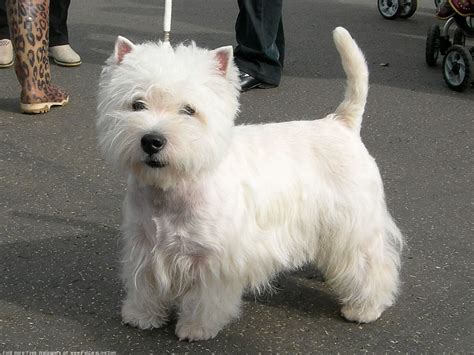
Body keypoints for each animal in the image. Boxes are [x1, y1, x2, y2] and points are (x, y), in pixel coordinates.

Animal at [96, 27, 404, 342]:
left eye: (189, 110)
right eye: (137, 104)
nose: (152, 141)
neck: (174, 187)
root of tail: (341, 123)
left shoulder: (212, 258)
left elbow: (204, 298)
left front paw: (196, 328)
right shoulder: (144, 244)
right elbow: (144, 284)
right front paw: (141, 316)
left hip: (355, 222)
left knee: (372, 263)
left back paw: (364, 308)